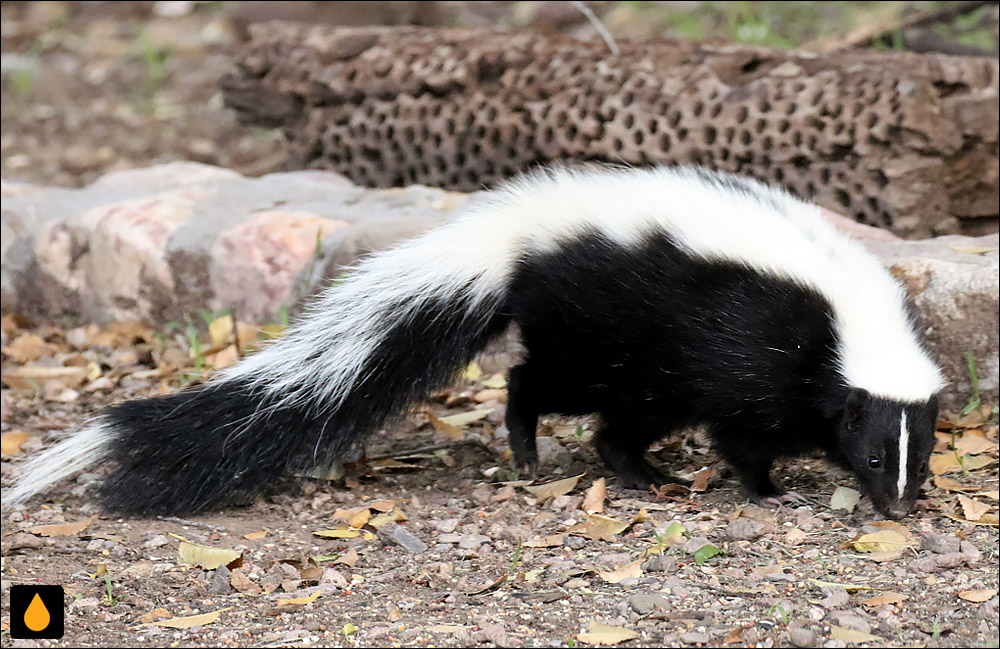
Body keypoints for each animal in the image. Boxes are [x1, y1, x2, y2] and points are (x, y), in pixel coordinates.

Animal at [5, 166, 944, 516]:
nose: (901, 504)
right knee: (540, 384)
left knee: (615, 419)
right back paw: (541, 451)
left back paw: (635, 468)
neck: (847, 317)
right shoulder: (751, 343)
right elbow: (745, 430)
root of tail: (512, 241)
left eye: (921, 452)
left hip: (630, 352)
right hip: (603, 335)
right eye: (872, 450)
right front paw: (765, 488)